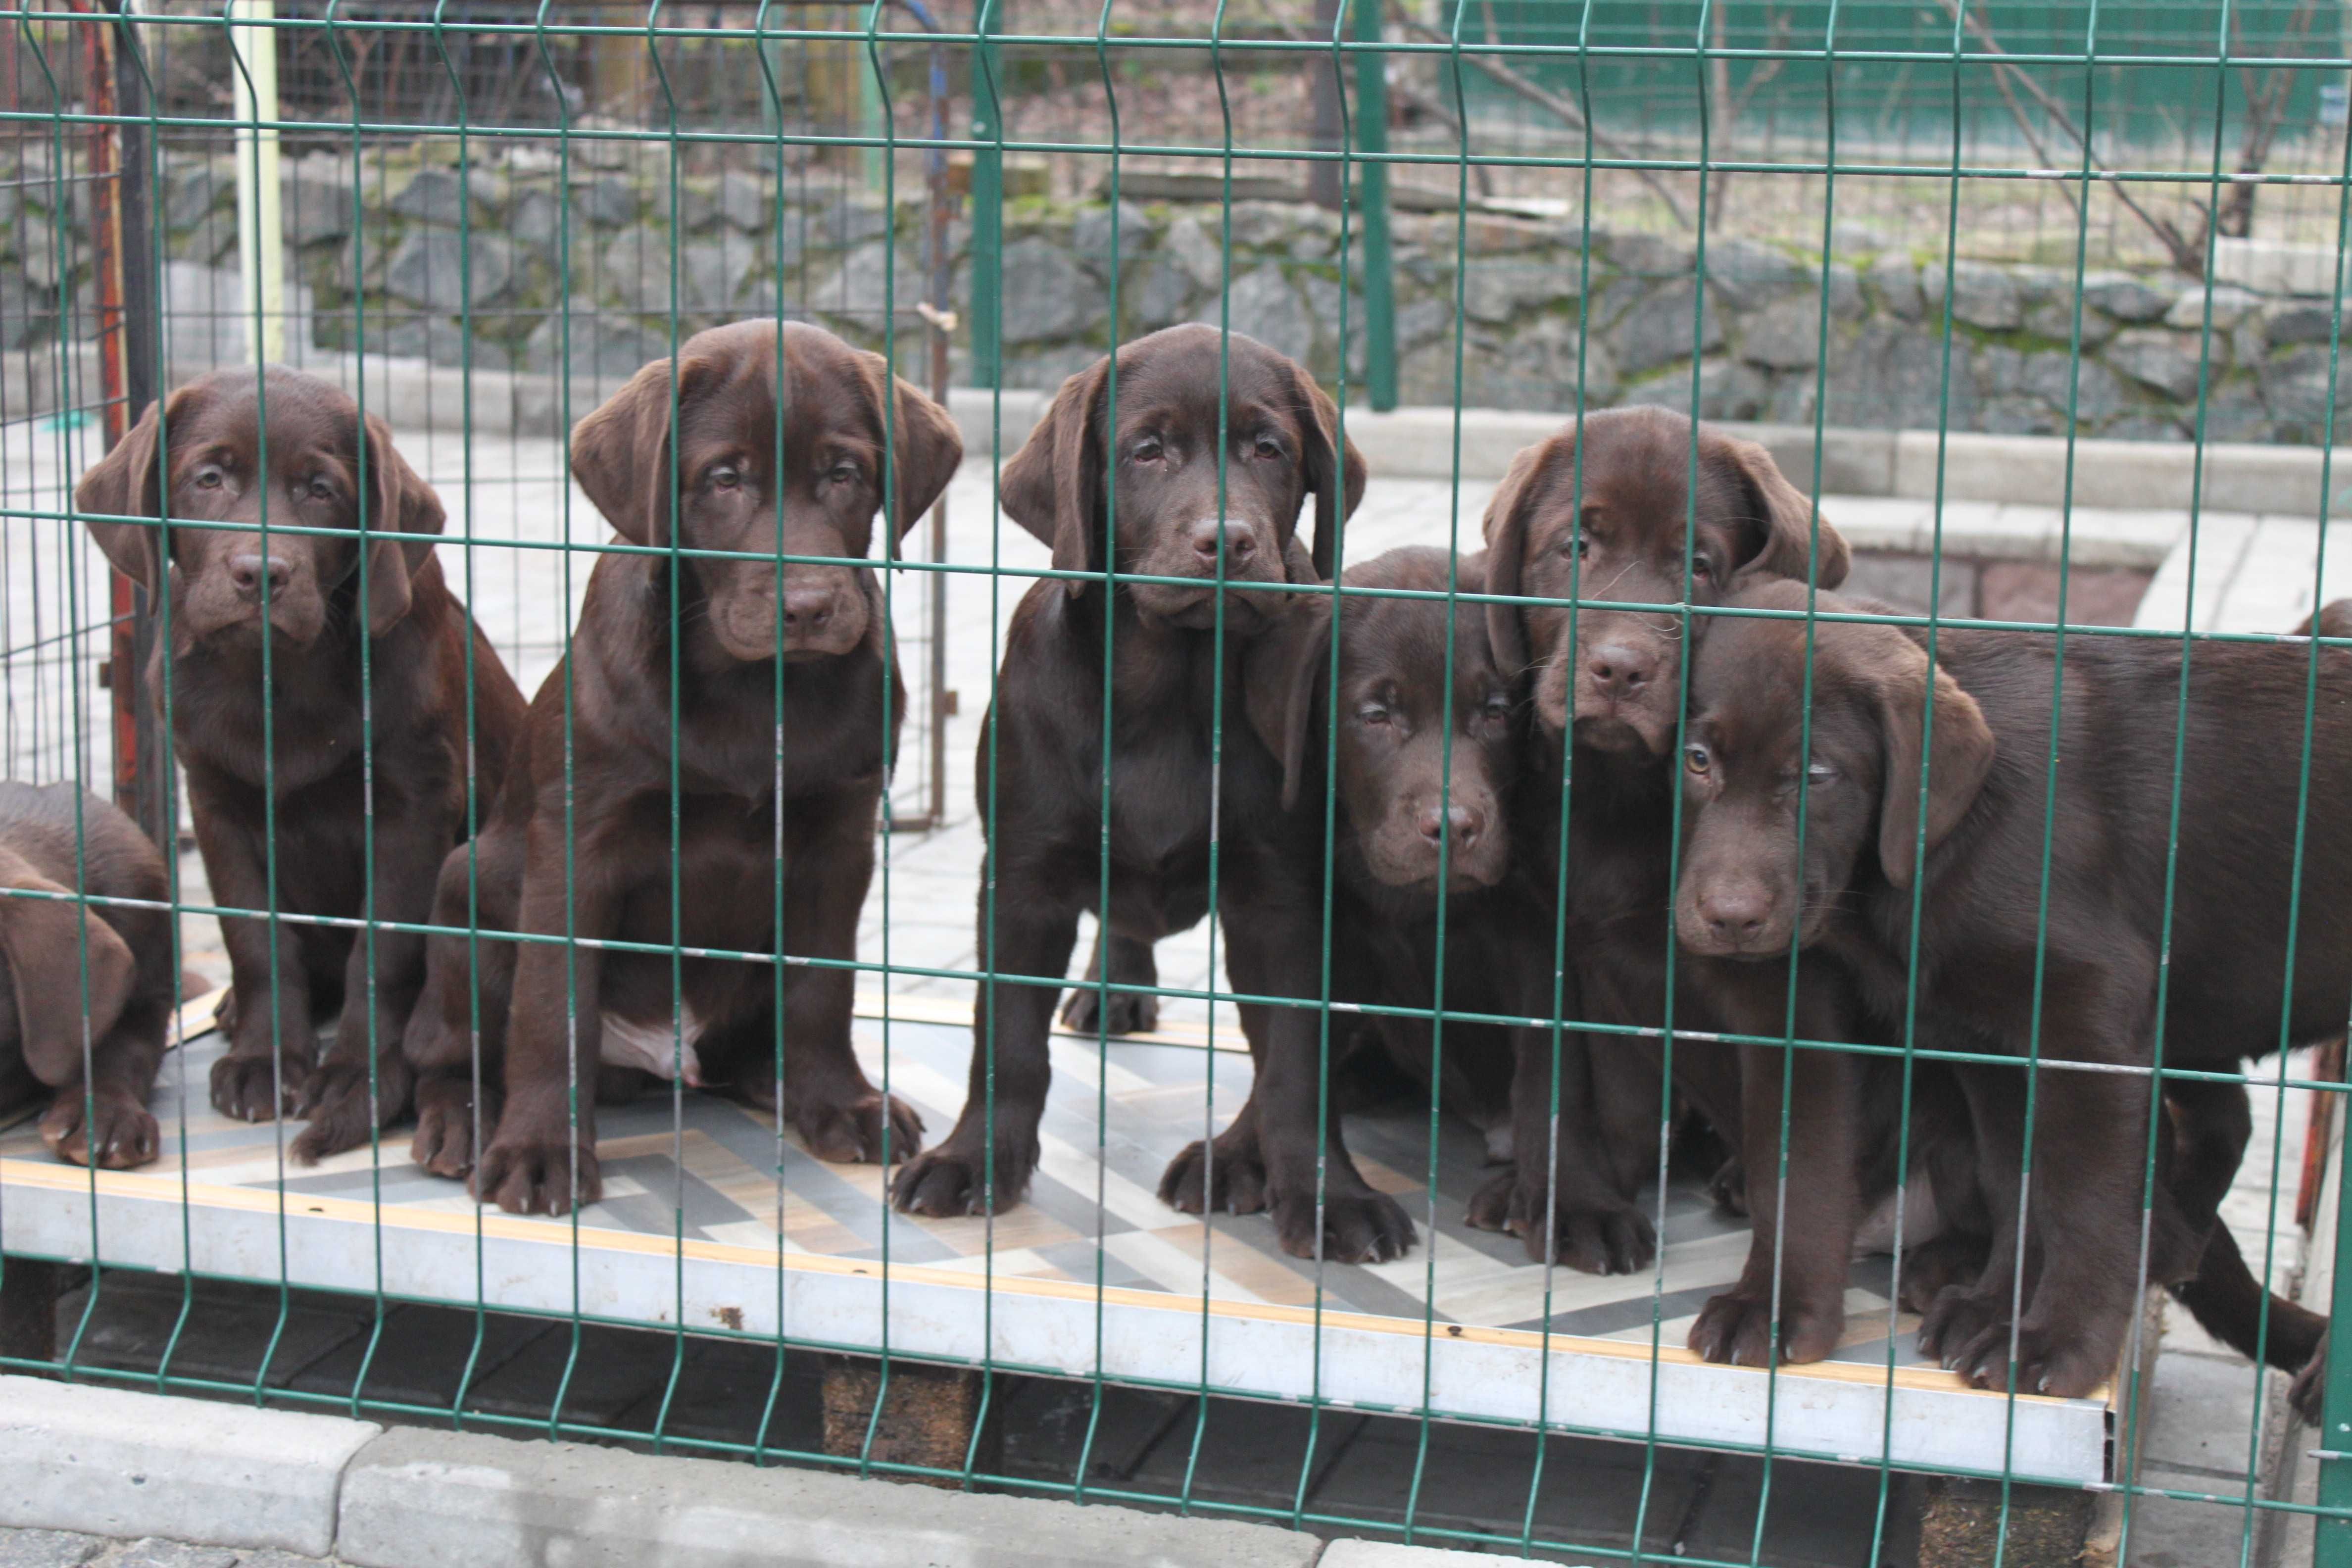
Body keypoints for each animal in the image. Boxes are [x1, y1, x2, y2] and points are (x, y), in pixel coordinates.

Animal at [82, 364, 529, 1152]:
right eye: (208, 478)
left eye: (321, 490)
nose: (260, 573)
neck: (278, 676)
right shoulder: (217, 803)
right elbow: (256, 941)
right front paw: (265, 1061)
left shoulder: (415, 805)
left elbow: (382, 952)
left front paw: (358, 1078)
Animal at [407, 324, 964, 1222]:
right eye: (724, 478)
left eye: (844, 473)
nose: (809, 607)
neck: (756, 688)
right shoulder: (577, 845)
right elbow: (550, 1010)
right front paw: (539, 1150)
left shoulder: (838, 841)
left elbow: (824, 988)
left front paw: (839, 1100)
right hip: (469, 883)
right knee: (444, 1047)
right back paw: (461, 1117)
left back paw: (781, 1081)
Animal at [1486, 411, 1853, 1278]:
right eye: (1575, 547)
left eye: (1699, 565)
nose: (1619, 669)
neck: (1616, 796)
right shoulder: (1543, 936)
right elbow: (1560, 1083)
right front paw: (1573, 1201)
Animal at [1684, 581, 2352, 1401]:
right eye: (1699, 760)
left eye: (1815, 775)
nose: (1729, 920)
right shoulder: (1983, 1041)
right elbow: (2010, 1181)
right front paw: (1988, 1309)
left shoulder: (2086, 1022)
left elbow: (2083, 1198)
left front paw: (2053, 1344)